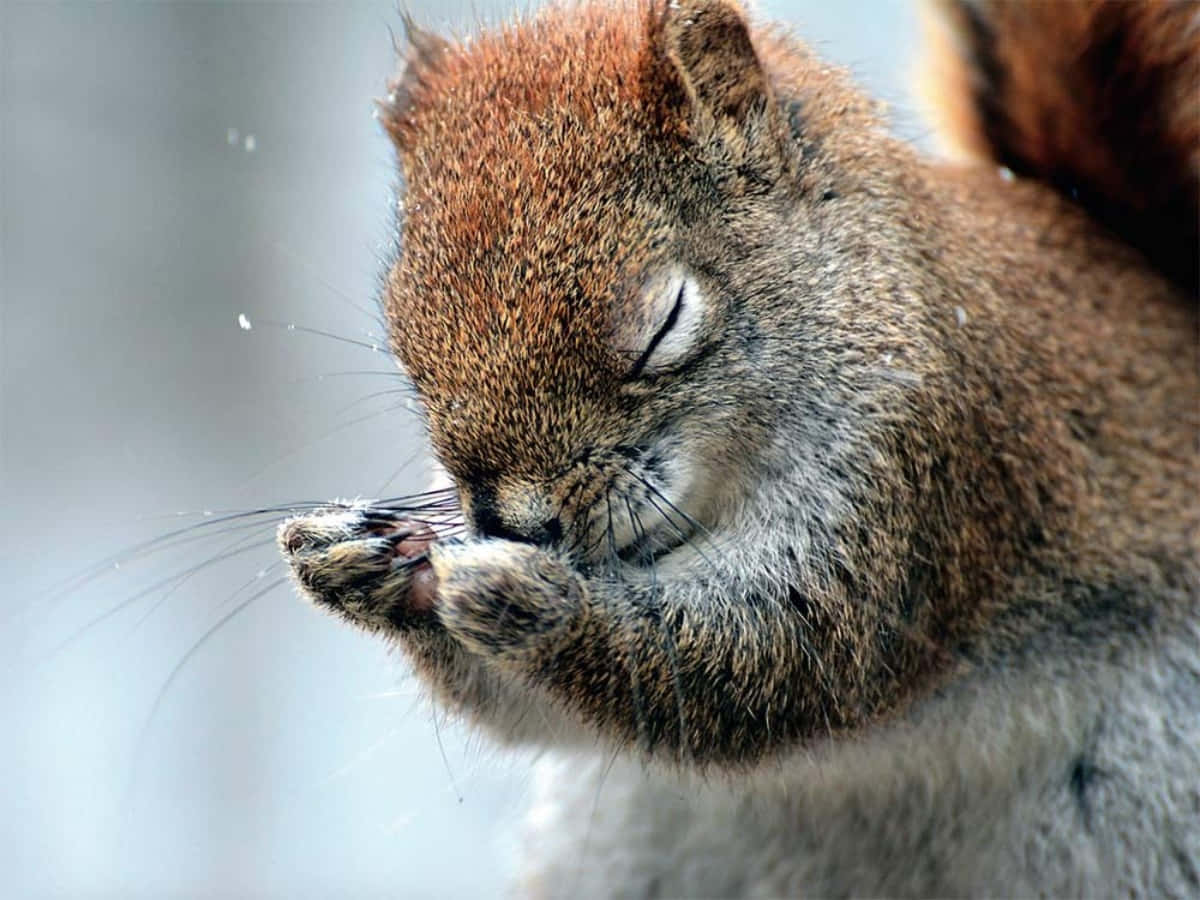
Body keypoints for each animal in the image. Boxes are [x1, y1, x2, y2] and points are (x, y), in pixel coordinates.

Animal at [279, 0, 1199, 895]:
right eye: (408, 351)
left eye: (664, 325)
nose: (518, 526)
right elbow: (543, 714)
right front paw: (354, 560)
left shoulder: (927, 462)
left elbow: (774, 659)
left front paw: (526, 599)